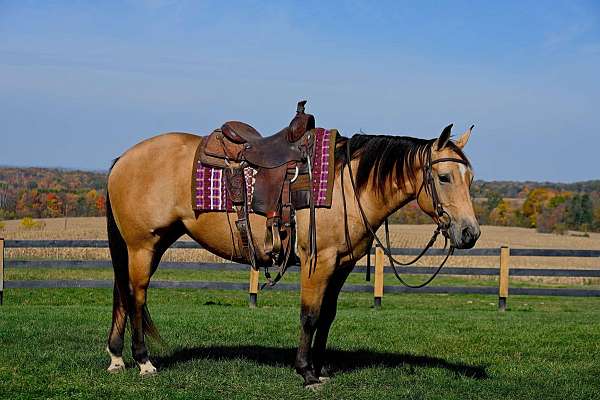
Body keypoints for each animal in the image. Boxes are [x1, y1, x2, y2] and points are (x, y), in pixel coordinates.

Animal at [103, 106, 478, 388]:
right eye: (444, 177)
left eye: (470, 179)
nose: (469, 233)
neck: (346, 184)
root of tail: (123, 158)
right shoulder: (318, 260)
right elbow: (309, 315)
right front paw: (306, 373)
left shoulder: (342, 264)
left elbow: (327, 316)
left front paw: (320, 368)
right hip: (142, 244)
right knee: (136, 295)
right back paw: (143, 361)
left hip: (153, 243)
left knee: (123, 291)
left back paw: (116, 357)